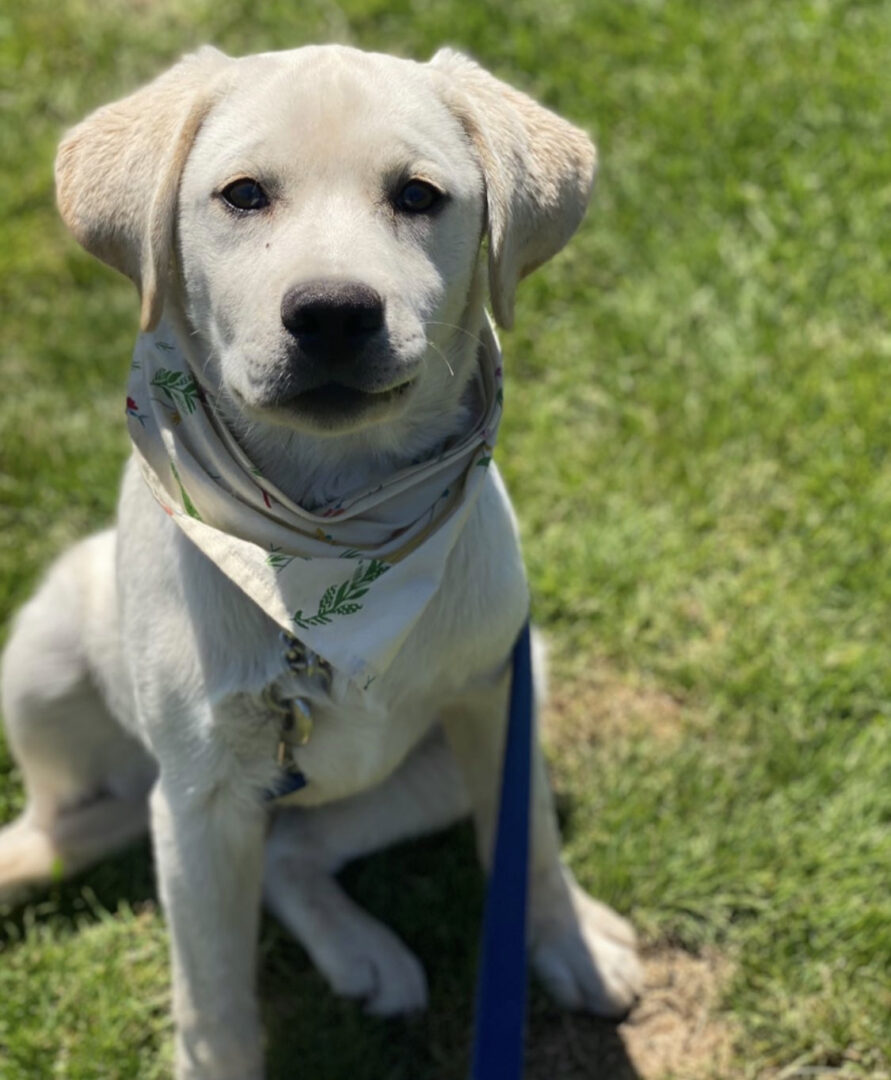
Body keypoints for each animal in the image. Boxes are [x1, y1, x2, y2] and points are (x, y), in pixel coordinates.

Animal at [0, 46, 639, 1080]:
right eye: (243, 195)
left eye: (418, 195)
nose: (334, 314)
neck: (324, 539)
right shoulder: (204, 798)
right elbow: (213, 1005)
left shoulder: (498, 702)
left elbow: (529, 840)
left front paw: (565, 940)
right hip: (48, 659)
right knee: (66, 821)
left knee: (290, 852)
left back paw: (364, 953)